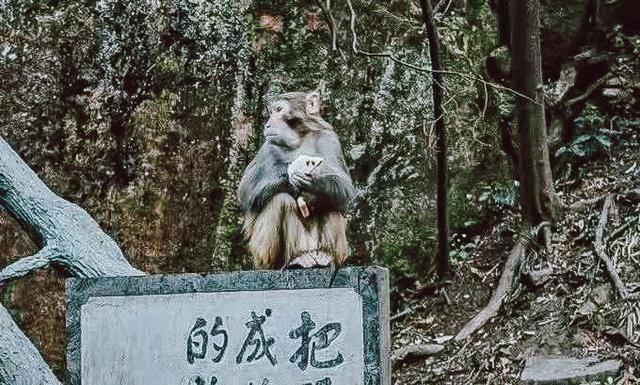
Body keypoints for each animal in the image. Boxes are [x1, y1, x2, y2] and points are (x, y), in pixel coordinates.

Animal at [238, 91, 356, 268]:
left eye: (278, 109)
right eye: (272, 112)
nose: (268, 123)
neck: (298, 139)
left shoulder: (329, 138)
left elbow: (344, 186)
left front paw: (315, 184)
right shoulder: (267, 148)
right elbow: (246, 191)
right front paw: (292, 175)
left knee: (331, 201)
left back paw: (325, 255)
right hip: (261, 254)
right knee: (281, 199)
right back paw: (296, 258)